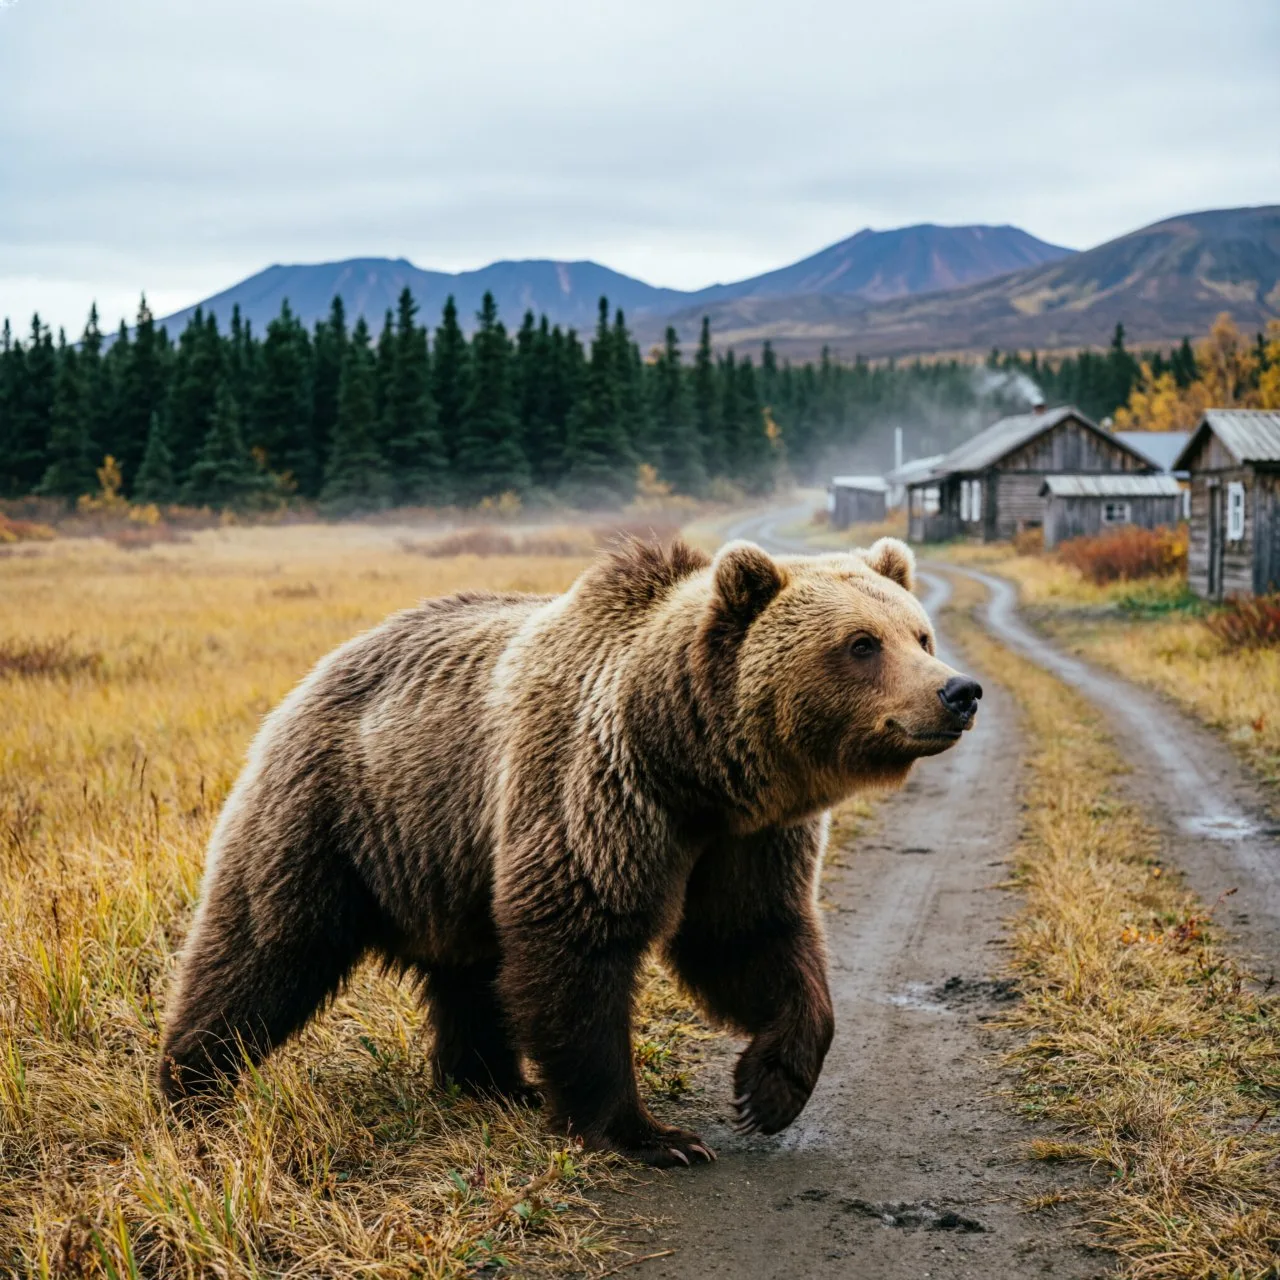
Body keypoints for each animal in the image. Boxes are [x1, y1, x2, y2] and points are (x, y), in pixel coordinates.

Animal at [158, 535, 981, 1166]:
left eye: (920, 635)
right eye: (862, 644)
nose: (959, 692)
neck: (691, 762)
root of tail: (322, 668)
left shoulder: (744, 839)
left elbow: (752, 938)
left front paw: (768, 1087)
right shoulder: (597, 790)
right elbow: (580, 943)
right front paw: (653, 1135)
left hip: (449, 860)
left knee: (473, 974)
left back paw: (494, 1083)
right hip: (337, 812)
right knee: (263, 947)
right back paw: (192, 1088)